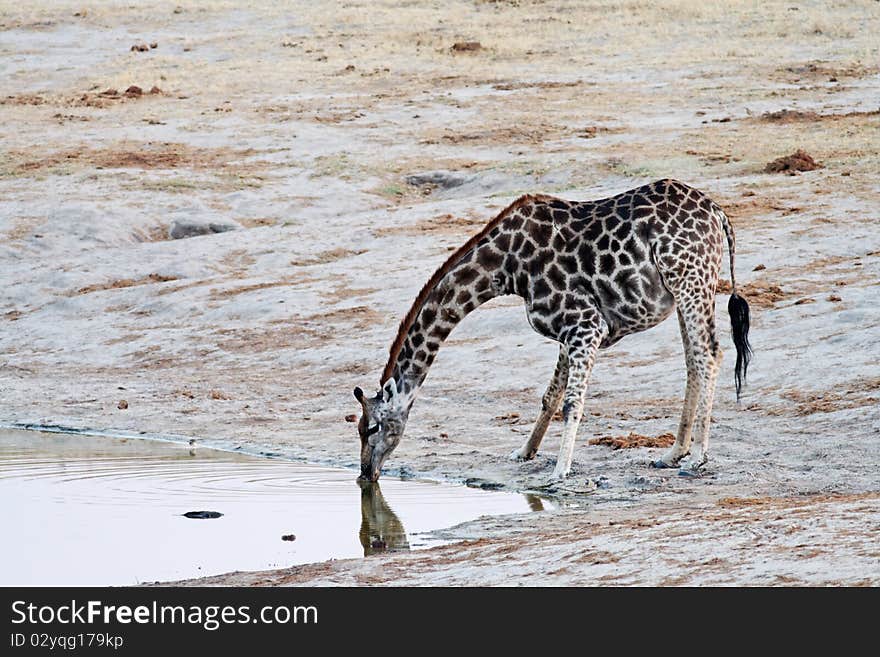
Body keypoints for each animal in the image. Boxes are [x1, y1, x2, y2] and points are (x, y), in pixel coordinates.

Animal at [354, 179, 752, 482]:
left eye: (371, 427)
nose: (365, 474)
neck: (504, 267)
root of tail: (717, 211)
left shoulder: (585, 325)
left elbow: (572, 402)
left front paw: (560, 471)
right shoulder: (568, 331)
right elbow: (550, 397)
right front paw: (524, 451)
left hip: (691, 282)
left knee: (709, 355)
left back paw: (697, 457)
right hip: (685, 289)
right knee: (693, 361)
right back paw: (673, 453)